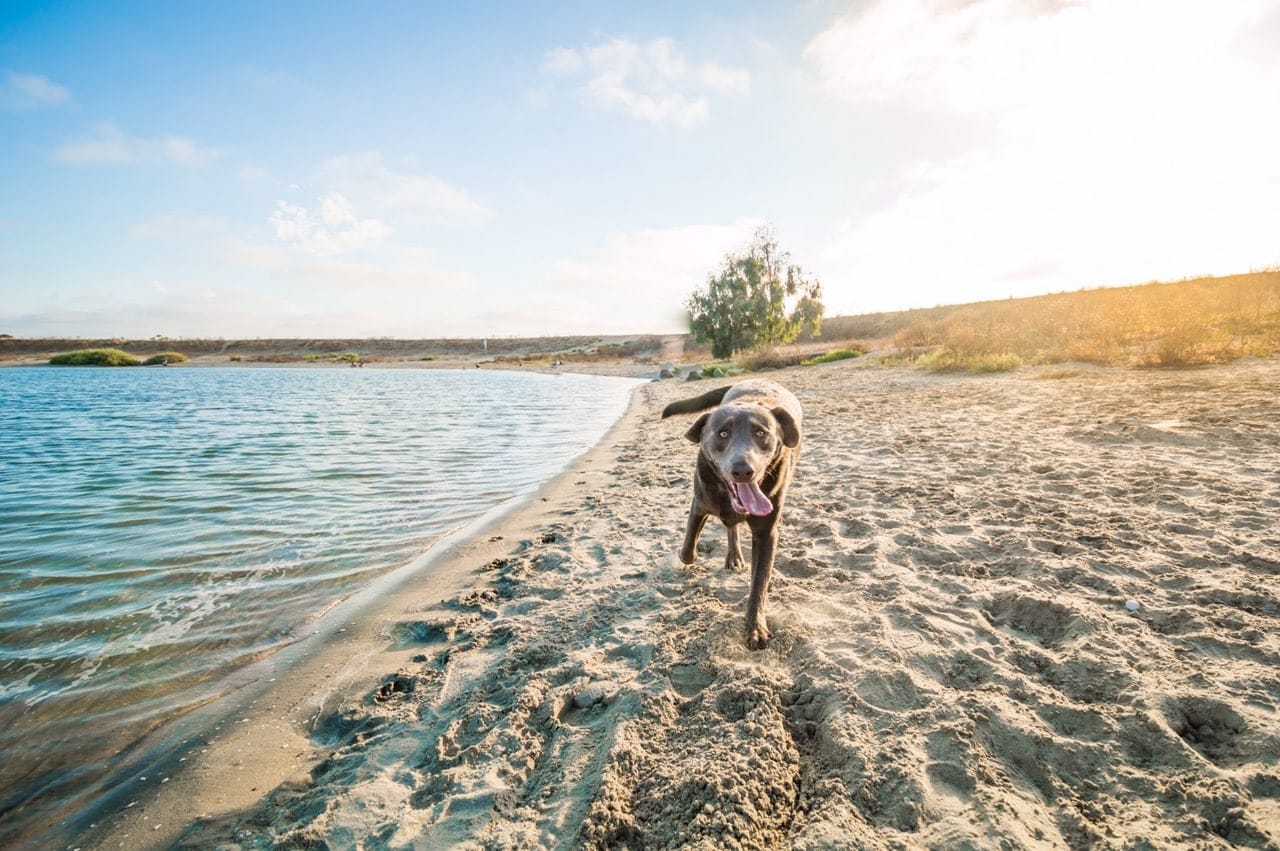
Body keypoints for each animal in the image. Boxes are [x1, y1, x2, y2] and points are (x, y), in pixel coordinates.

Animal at [660, 378, 798, 650]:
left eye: (761, 433)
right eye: (722, 433)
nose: (743, 470)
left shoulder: (767, 533)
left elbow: (759, 584)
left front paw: (755, 628)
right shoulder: (699, 504)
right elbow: (688, 549)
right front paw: (683, 558)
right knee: (730, 527)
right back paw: (733, 555)